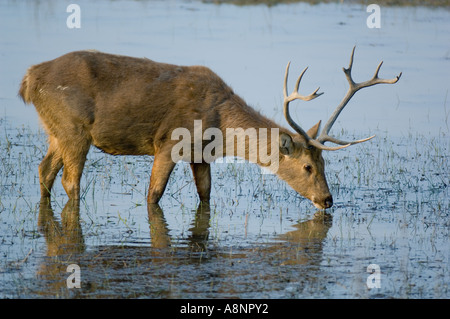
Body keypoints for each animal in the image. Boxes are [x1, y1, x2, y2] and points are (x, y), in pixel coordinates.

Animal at [20, 47, 400, 210]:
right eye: (308, 166)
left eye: (325, 163)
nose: (327, 199)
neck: (221, 125)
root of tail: (29, 79)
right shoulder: (169, 141)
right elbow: (153, 195)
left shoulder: (201, 154)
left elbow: (206, 194)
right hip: (74, 128)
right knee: (70, 180)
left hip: (56, 130)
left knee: (43, 170)